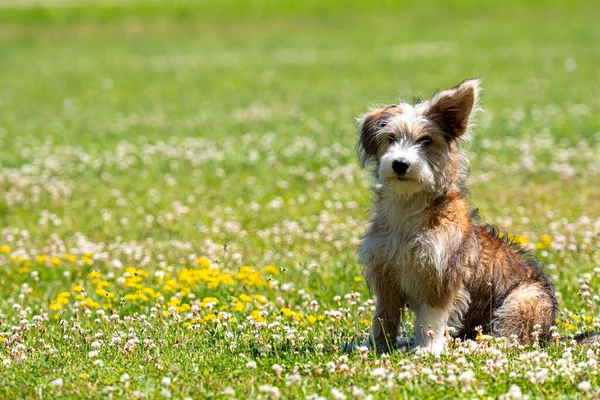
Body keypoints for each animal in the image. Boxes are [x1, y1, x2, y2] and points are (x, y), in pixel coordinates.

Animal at [354, 79, 560, 354]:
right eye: (391, 138)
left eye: (426, 140)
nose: (399, 164)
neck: (408, 206)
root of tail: (551, 335)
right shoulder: (385, 274)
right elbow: (383, 317)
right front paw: (376, 347)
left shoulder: (441, 276)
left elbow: (430, 319)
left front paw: (427, 349)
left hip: (523, 301)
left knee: (509, 342)